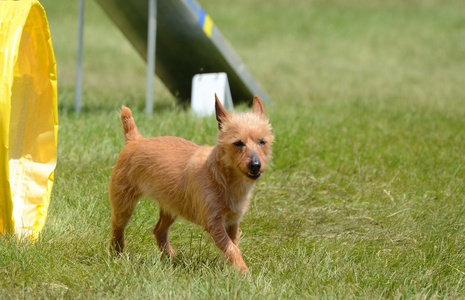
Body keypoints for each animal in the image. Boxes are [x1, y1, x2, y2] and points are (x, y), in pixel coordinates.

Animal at [109, 95, 272, 274]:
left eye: (262, 142)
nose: (255, 165)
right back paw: (116, 253)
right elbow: (231, 247)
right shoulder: (214, 223)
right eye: (238, 143)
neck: (224, 178)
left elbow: (232, 244)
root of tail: (135, 140)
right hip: (124, 203)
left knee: (159, 230)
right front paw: (244, 271)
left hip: (171, 206)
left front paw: (229, 269)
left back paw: (172, 258)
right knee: (118, 227)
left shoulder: (232, 222)